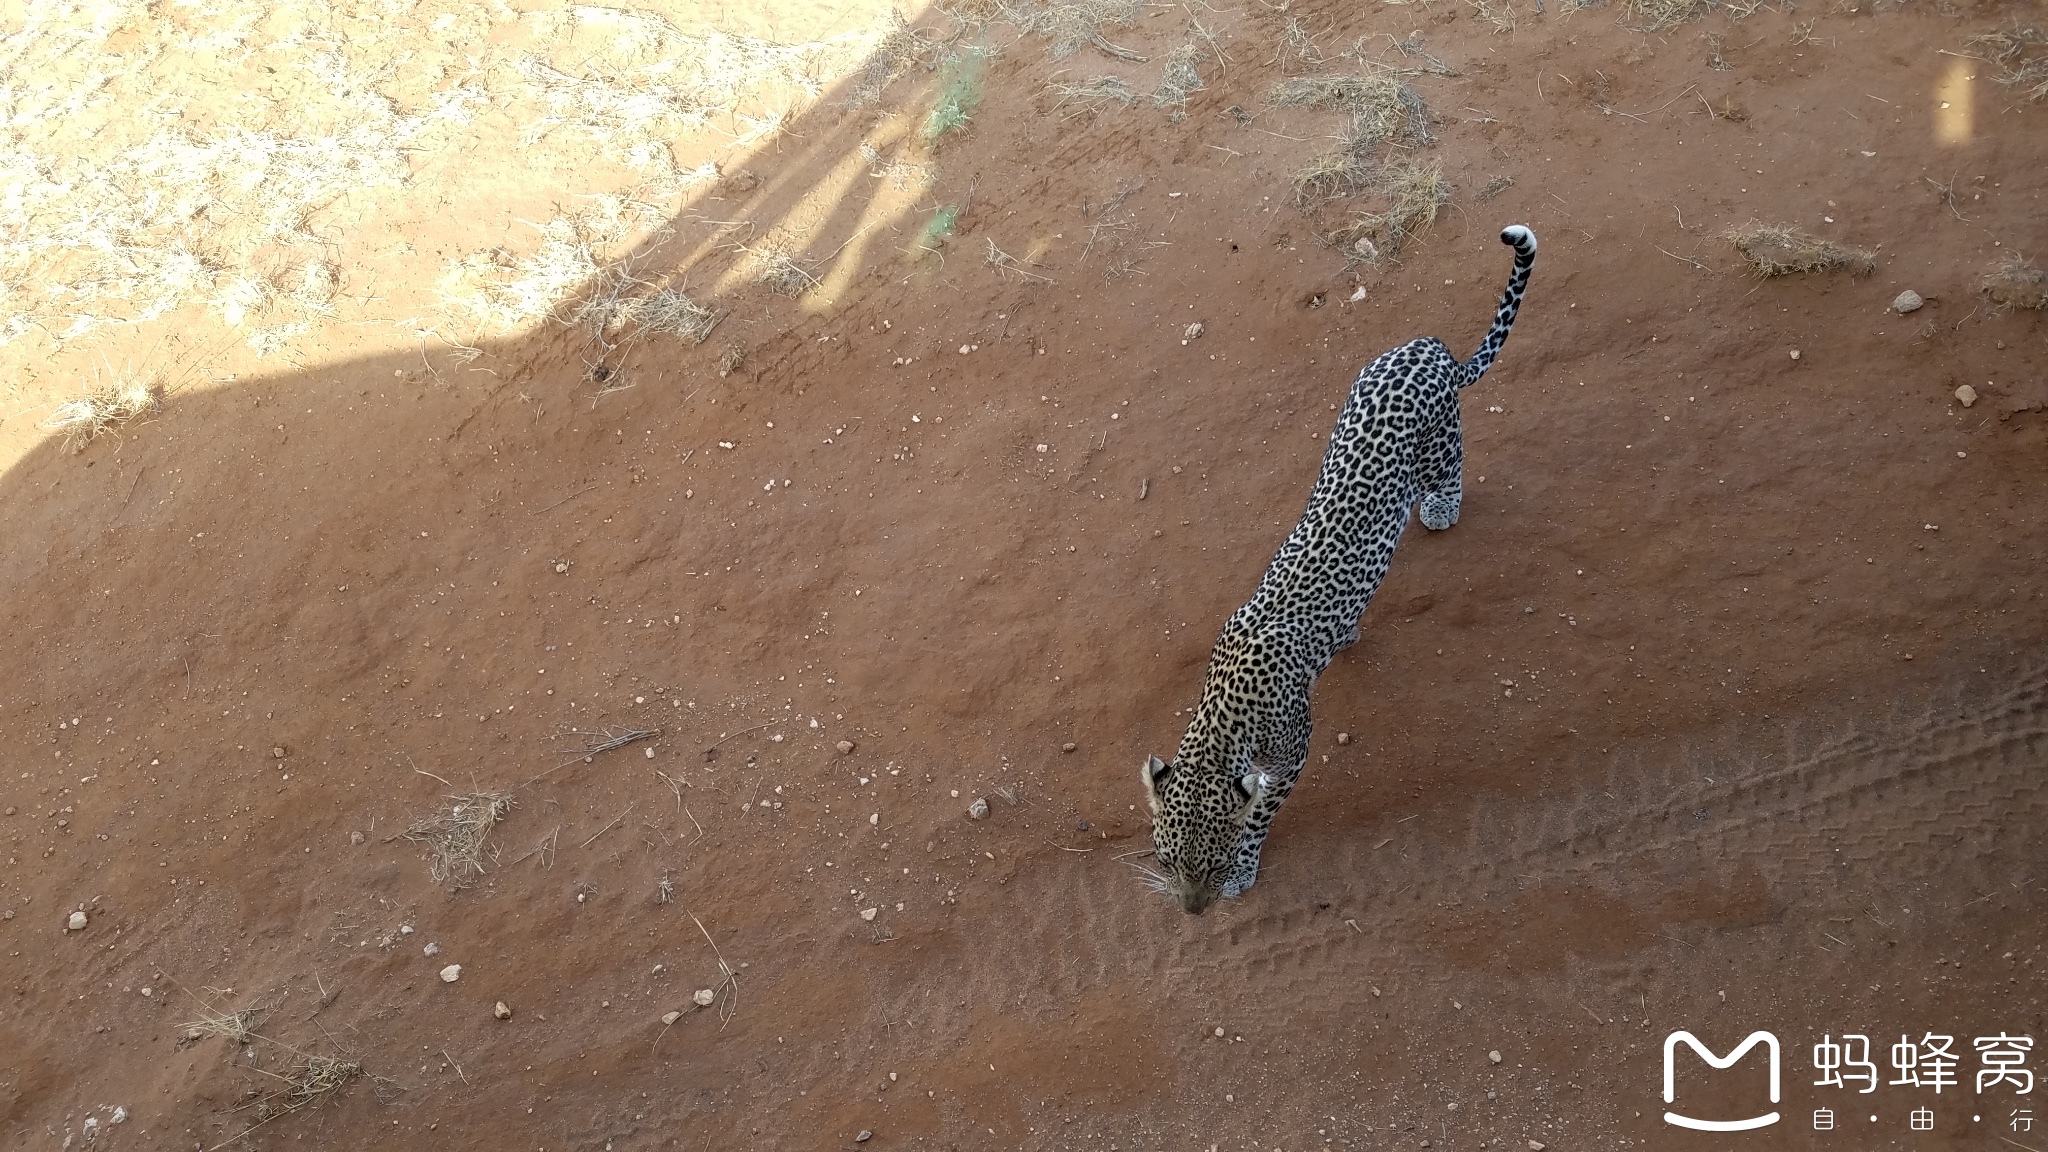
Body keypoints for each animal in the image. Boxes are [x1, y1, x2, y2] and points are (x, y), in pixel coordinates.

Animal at [1138, 219, 1540, 910]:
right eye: (1166, 861)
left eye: (1210, 865)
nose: (1192, 913)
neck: (1222, 718)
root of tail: (1427, 347)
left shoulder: (1292, 756)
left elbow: (1260, 814)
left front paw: (1246, 866)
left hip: (1441, 447)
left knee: (1454, 474)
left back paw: (1440, 510)